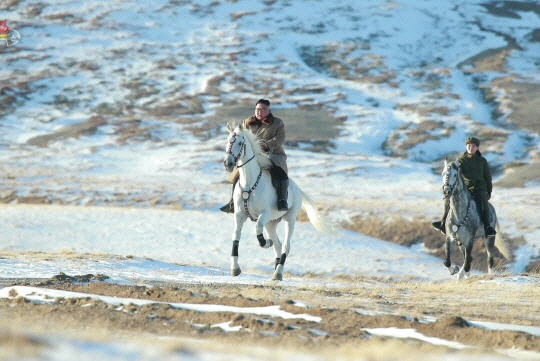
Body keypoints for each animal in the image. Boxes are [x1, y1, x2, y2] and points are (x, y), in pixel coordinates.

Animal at [223, 122, 334, 280]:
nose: (228, 163)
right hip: (271, 223)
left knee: (286, 246)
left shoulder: (264, 214)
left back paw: (278, 273)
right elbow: (236, 236)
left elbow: (257, 229)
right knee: (278, 245)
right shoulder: (239, 215)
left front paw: (265, 243)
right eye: (227, 142)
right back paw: (276, 267)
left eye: (239, 142)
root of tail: (297, 188)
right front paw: (235, 268)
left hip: (289, 219)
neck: (250, 183)